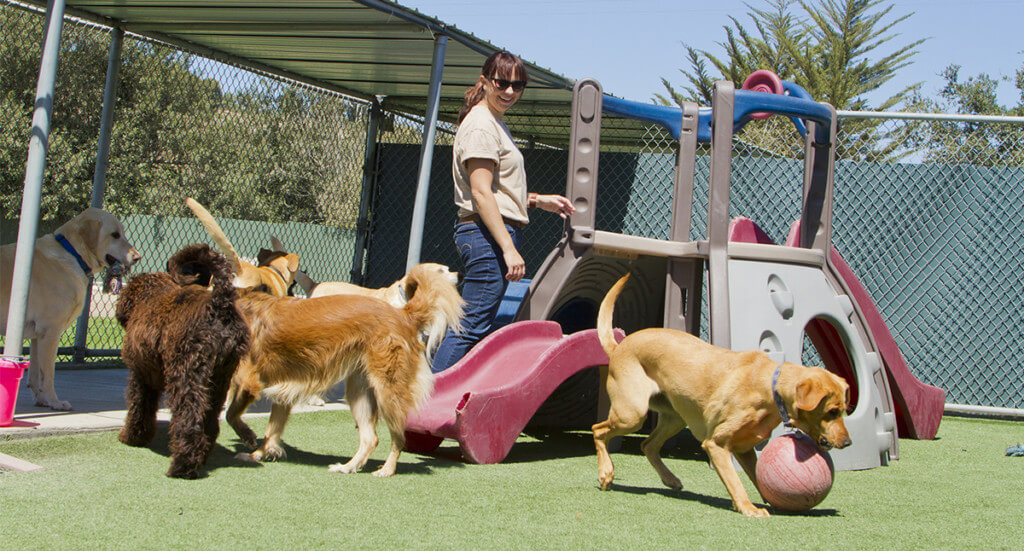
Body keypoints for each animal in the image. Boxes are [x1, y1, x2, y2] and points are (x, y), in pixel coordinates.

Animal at [1, 207, 141, 409]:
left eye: (122, 232)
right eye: (115, 235)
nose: (137, 257)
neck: (73, 253)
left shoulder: (37, 335)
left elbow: (35, 374)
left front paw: (41, 399)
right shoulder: (50, 332)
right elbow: (48, 375)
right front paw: (54, 401)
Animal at [115, 243, 248, 475]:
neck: (151, 296)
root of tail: (218, 304)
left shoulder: (141, 376)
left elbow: (139, 408)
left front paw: (132, 437)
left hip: (186, 375)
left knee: (189, 418)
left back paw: (182, 465)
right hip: (219, 379)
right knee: (209, 419)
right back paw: (201, 456)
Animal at [227, 264, 464, 473]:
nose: (459, 276)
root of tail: (403, 314)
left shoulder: (249, 382)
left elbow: (231, 414)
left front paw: (247, 437)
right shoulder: (282, 392)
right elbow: (271, 431)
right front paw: (257, 454)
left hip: (387, 391)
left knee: (399, 438)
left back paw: (386, 470)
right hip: (360, 392)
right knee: (370, 438)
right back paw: (348, 467)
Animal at [589, 272, 851, 514]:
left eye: (843, 411)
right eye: (832, 411)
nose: (848, 442)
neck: (769, 385)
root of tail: (619, 347)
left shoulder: (745, 449)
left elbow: (757, 478)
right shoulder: (717, 444)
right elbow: (735, 481)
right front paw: (749, 508)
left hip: (674, 418)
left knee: (648, 445)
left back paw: (669, 479)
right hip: (632, 414)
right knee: (598, 430)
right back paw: (606, 473)